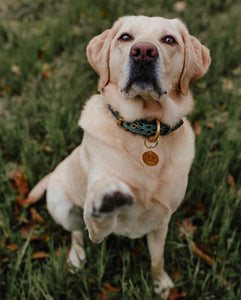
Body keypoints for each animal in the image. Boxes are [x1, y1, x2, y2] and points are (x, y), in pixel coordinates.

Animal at [27, 17, 210, 300]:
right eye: (125, 37)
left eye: (169, 40)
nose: (143, 51)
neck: (144, 127)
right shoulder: (98, 227)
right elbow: (95, 219)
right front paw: (108, 199)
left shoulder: (162, 220)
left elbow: (157, 261)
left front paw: (161, 284)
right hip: (62, 206)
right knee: (75, 232)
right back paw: (76, 258)